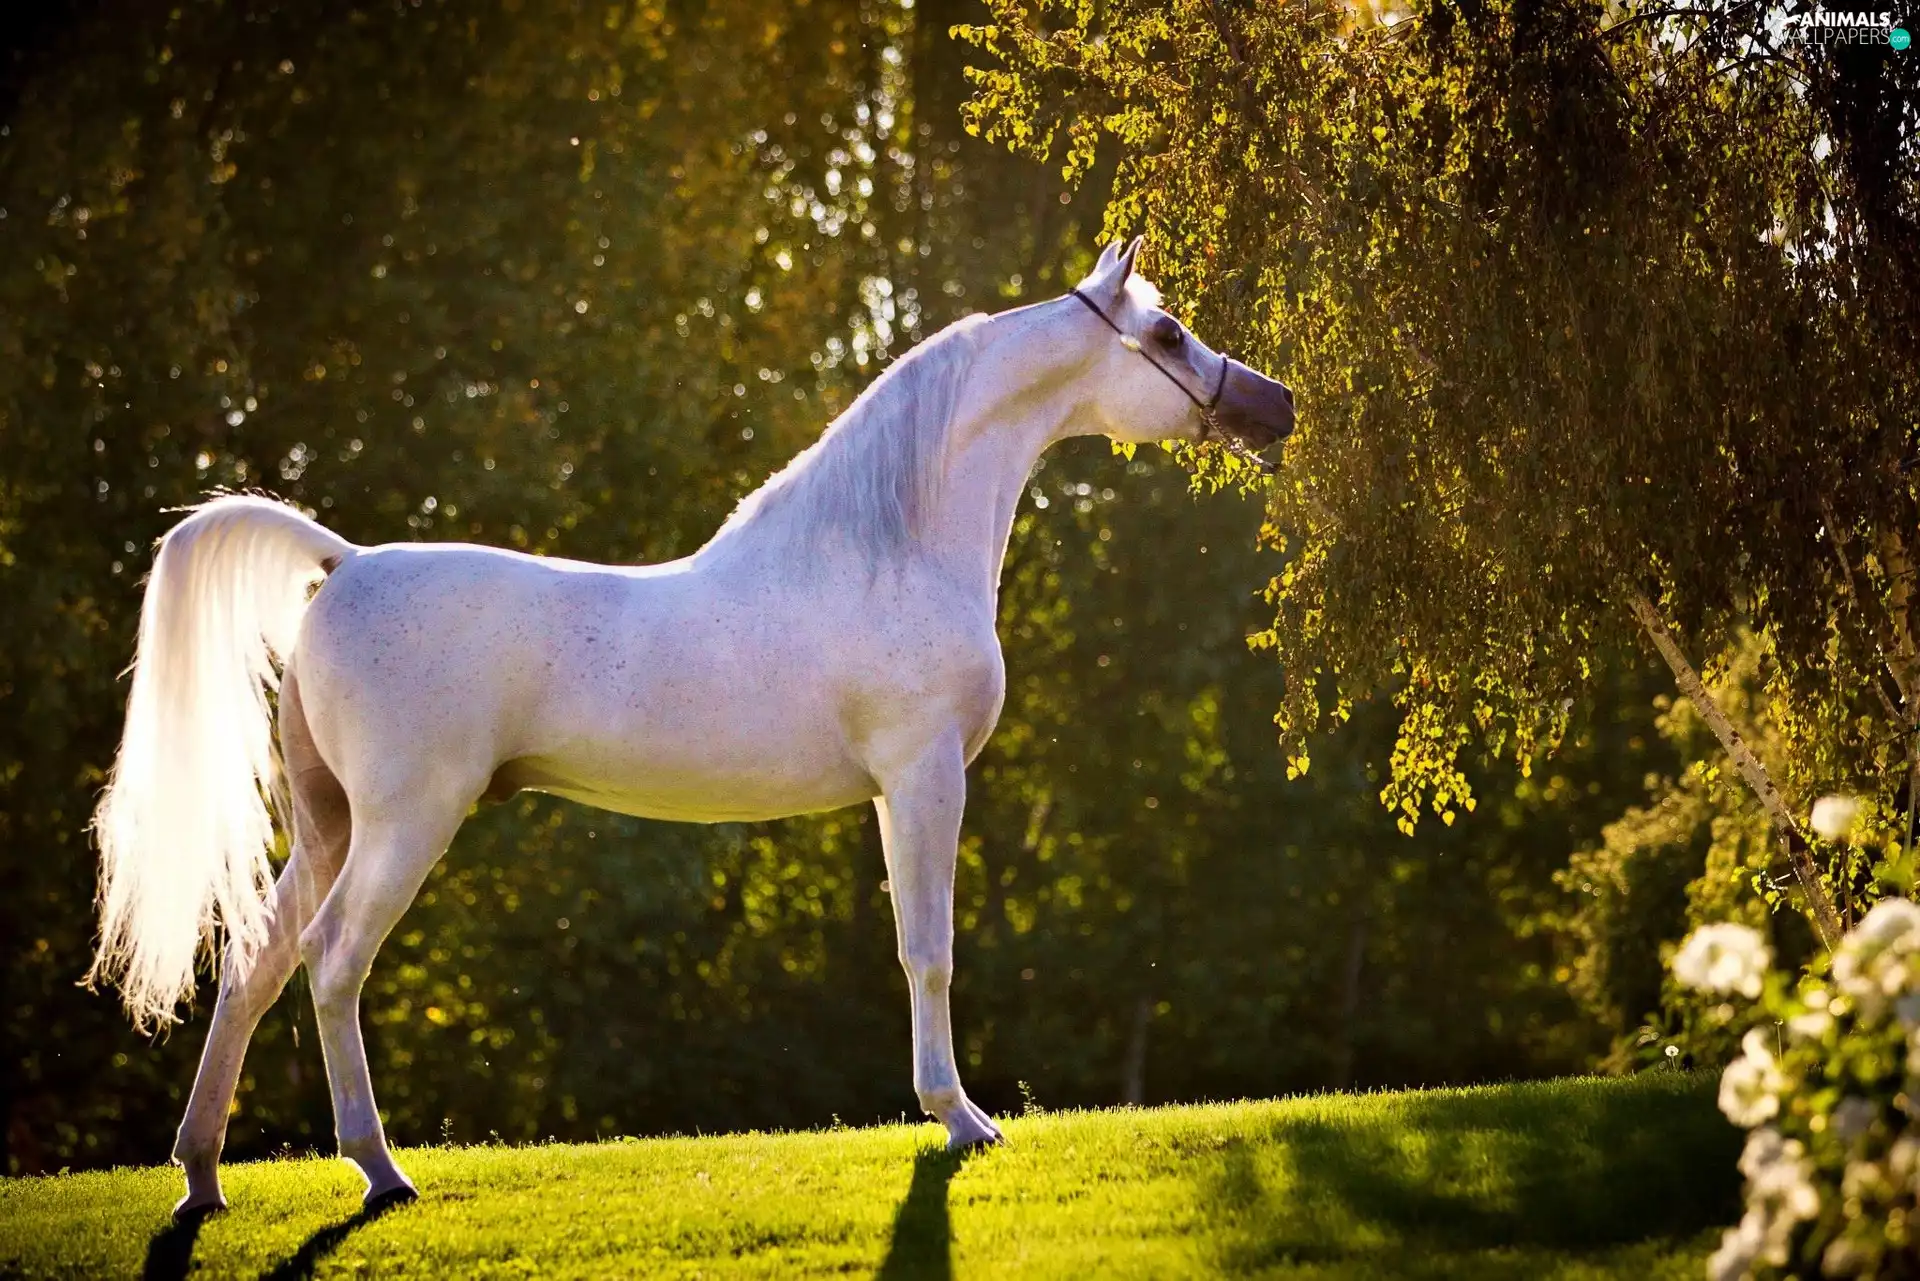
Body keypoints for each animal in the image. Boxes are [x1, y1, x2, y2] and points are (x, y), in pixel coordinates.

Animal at [87, 238, 1294, 1218]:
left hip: (328, 827)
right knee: (334, 964)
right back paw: (379, 1170)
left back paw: (203, 1176)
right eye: (1167, 332)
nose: (1273, 405)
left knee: (252, 969)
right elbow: (929, 950)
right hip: (403, 824)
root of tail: (342, 562)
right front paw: (960, 1118)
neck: (885, 549)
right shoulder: (923, 779)